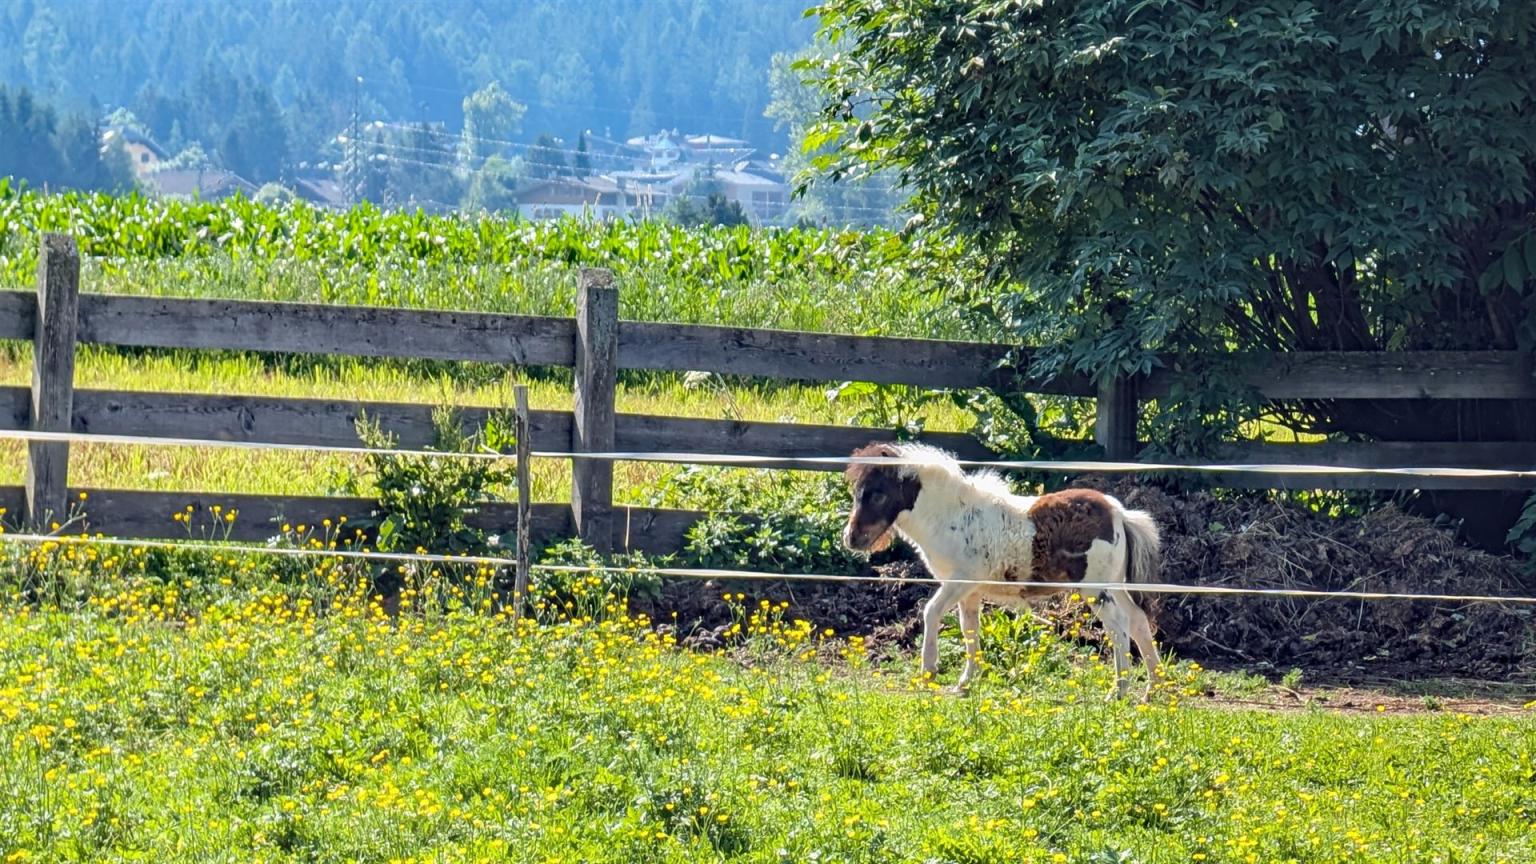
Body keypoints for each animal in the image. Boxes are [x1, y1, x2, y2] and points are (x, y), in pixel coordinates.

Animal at [840, 441, 1165, 700]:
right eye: (857, 492)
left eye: (878, 494)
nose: (851, 538)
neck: (951, 516)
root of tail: (1118, 513)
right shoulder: (970, 593)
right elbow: (970, 631)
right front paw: (965, 684)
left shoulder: (960, 581)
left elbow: (931, 612)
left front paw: (929, 671)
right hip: (1115, 586)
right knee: (1138, 621)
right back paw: (1153, 689)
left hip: (1095, 589)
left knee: (1119, 627)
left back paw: (1118, 693)